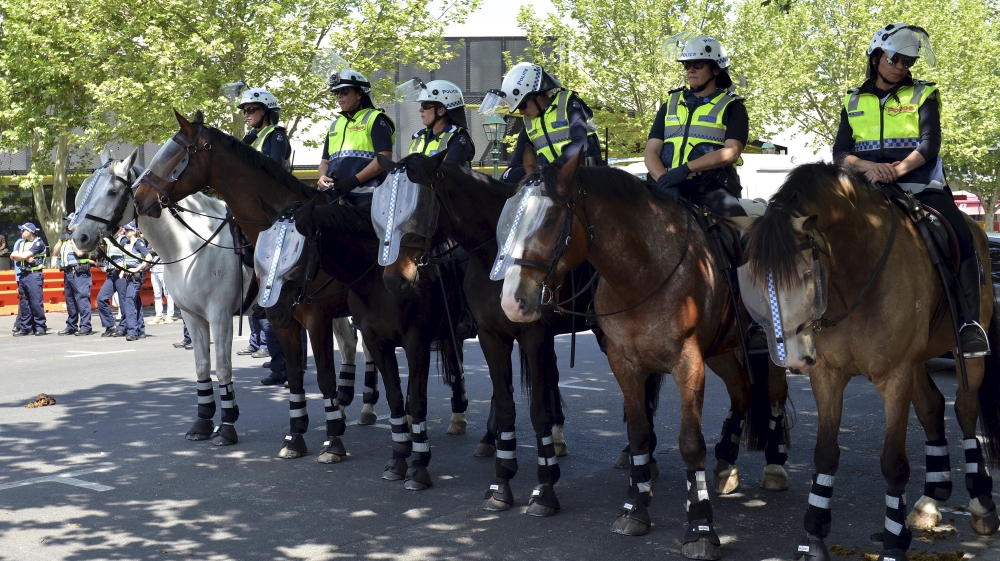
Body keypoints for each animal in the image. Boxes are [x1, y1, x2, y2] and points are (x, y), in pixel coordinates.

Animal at [70, 150, 253, 445]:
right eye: (81, 193)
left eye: (112, 192)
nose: (80, 237)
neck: (192, 245)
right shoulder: (192, 316)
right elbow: (202, 365)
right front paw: (203, 422)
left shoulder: (220, 316)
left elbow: (223, 367)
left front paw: (226, 426)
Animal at [130, 110, 378, 464]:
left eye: (175, 154)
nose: (139, 199)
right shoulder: (281, 318)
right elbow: (294, 375)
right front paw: (296, 437)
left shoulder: (314, 317)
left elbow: (323, 377)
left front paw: (332, 443)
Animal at [498, 154, 791, 559]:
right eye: (511, 212)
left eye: (551, 219)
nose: (513, 301)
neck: (642, 274)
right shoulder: (625, 364)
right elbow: (637, 432)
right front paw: (635, 508)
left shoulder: (688, 364)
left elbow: (690, 443)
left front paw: (700, 527)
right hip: (720, 350)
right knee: (742, 391)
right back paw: (726, 463)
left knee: (775, 394)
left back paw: (775, 467)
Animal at [742, 162, 1000, 560]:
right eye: (754, 279)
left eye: (806, 275)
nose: (792, 357)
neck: (856, 273)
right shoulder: (828, 375)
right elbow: (825, 454)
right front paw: (814, 537)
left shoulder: (894, 376)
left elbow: (893, 463)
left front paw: (894, 542)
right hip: (917, 361)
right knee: (932, 407)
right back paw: (931, 498)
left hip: (965, 355)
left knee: (965, 411)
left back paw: (981, 502)